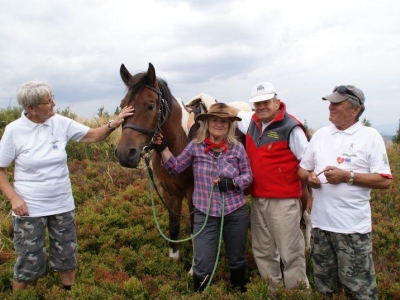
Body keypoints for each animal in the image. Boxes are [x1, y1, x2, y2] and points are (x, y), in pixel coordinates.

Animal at [115, 62, 195, 260]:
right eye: (122, 105)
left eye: (150, 106)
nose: (125, 153)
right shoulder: (169, 192)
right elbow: (174, 226)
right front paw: (173, 259)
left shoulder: (193, 194)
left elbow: (196, 231)